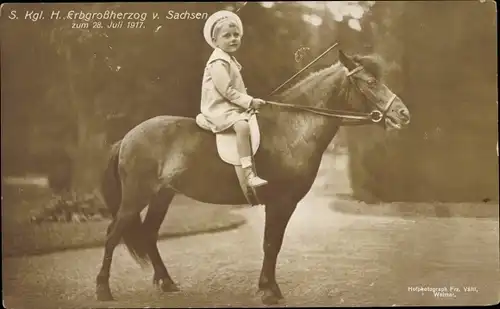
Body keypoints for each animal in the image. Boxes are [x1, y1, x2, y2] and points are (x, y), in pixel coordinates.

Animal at [94, 50, 410, 304]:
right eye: (371, 82)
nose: (403, 114)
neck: (292, 129)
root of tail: (127, 137)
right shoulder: (281, 202)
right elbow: (271, 243)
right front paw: (268, 292)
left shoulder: (284, 204)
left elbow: (274, 244)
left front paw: (270, 288)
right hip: (136, 197)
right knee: (112, 234)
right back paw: (103, 290)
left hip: (162, 195)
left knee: (149, 234)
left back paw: (167, 283)